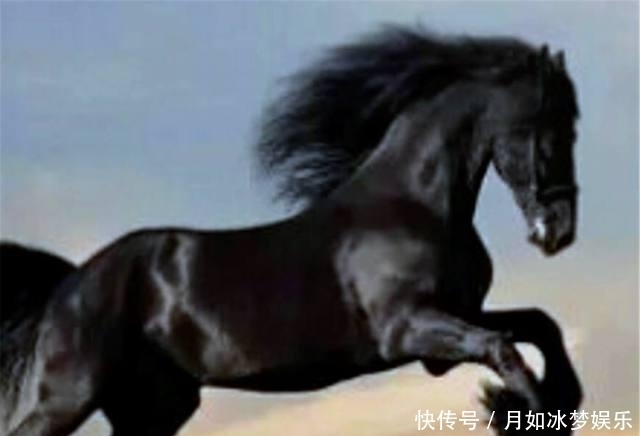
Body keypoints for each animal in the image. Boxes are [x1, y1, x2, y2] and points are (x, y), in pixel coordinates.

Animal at [1, 26, 582, 436]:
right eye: (548, 128)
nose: (559, 232)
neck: (415, 205)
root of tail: (71, 282)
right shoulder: (408, 329)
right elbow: (504, 348)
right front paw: (526, 410)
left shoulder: (453, 321)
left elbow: (539, 324)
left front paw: (559, 403)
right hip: (70, 394)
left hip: (157, 407)